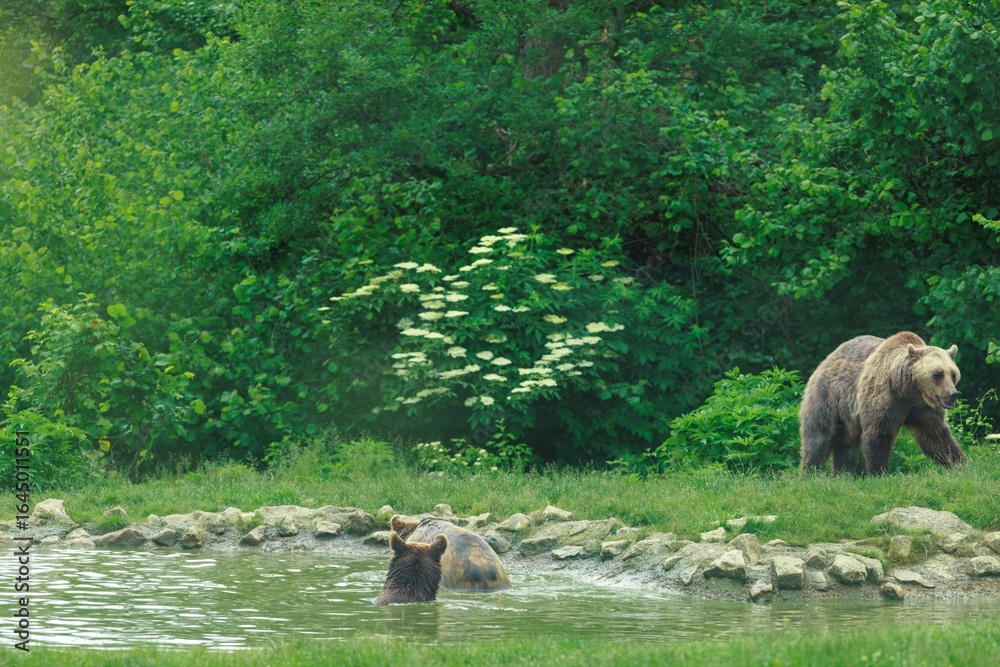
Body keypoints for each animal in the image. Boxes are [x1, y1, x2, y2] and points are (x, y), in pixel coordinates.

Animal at [799, 331, 967, 475]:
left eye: (953, 374)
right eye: (938, 374)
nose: (953, 394)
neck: (907, 391)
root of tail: (825, 360)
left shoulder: (922, 408)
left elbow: (935, 435)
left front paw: (960, 462)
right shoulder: (884, 397)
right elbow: (879, 432)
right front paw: (878, 471)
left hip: (847, 416)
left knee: (846, 444)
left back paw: (843, 473)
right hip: (827, 396)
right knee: (819, 437)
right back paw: (810, 471)